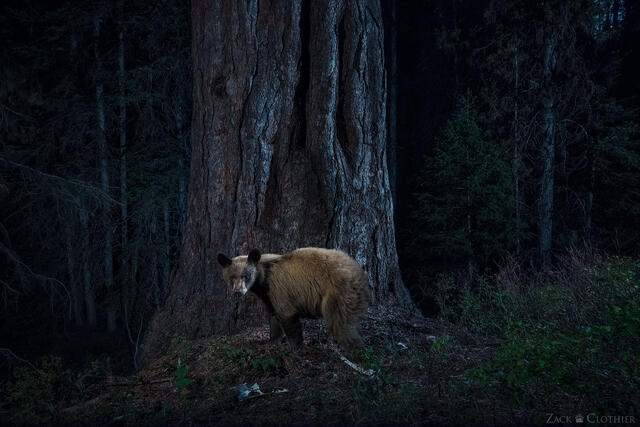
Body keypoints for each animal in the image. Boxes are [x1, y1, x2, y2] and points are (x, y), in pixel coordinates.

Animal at [217, 247, 370, 352]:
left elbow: (287, 316)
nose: (238, 292)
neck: (264, 278)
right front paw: (273, 342)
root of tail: (360, 273)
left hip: (338, 293)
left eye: (246, 276)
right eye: (232, 277)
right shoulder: (269, 297)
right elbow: (274, 318)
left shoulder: (279, 289)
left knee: (340, 323)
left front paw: (294, 347)